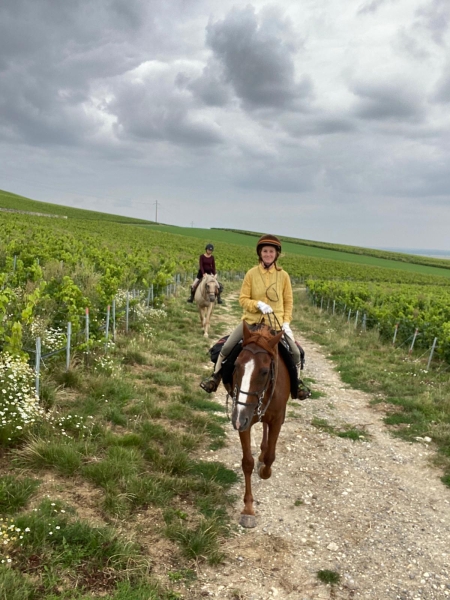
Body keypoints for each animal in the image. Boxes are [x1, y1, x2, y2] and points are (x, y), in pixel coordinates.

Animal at [223, 322, 290, 528]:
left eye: (264, 371)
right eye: (236, 366)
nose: (237, 419)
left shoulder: (277, 419)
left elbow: (270, 457)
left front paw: (265, 471)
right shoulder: (244, 420)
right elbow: (247, 462)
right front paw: (248, 509)